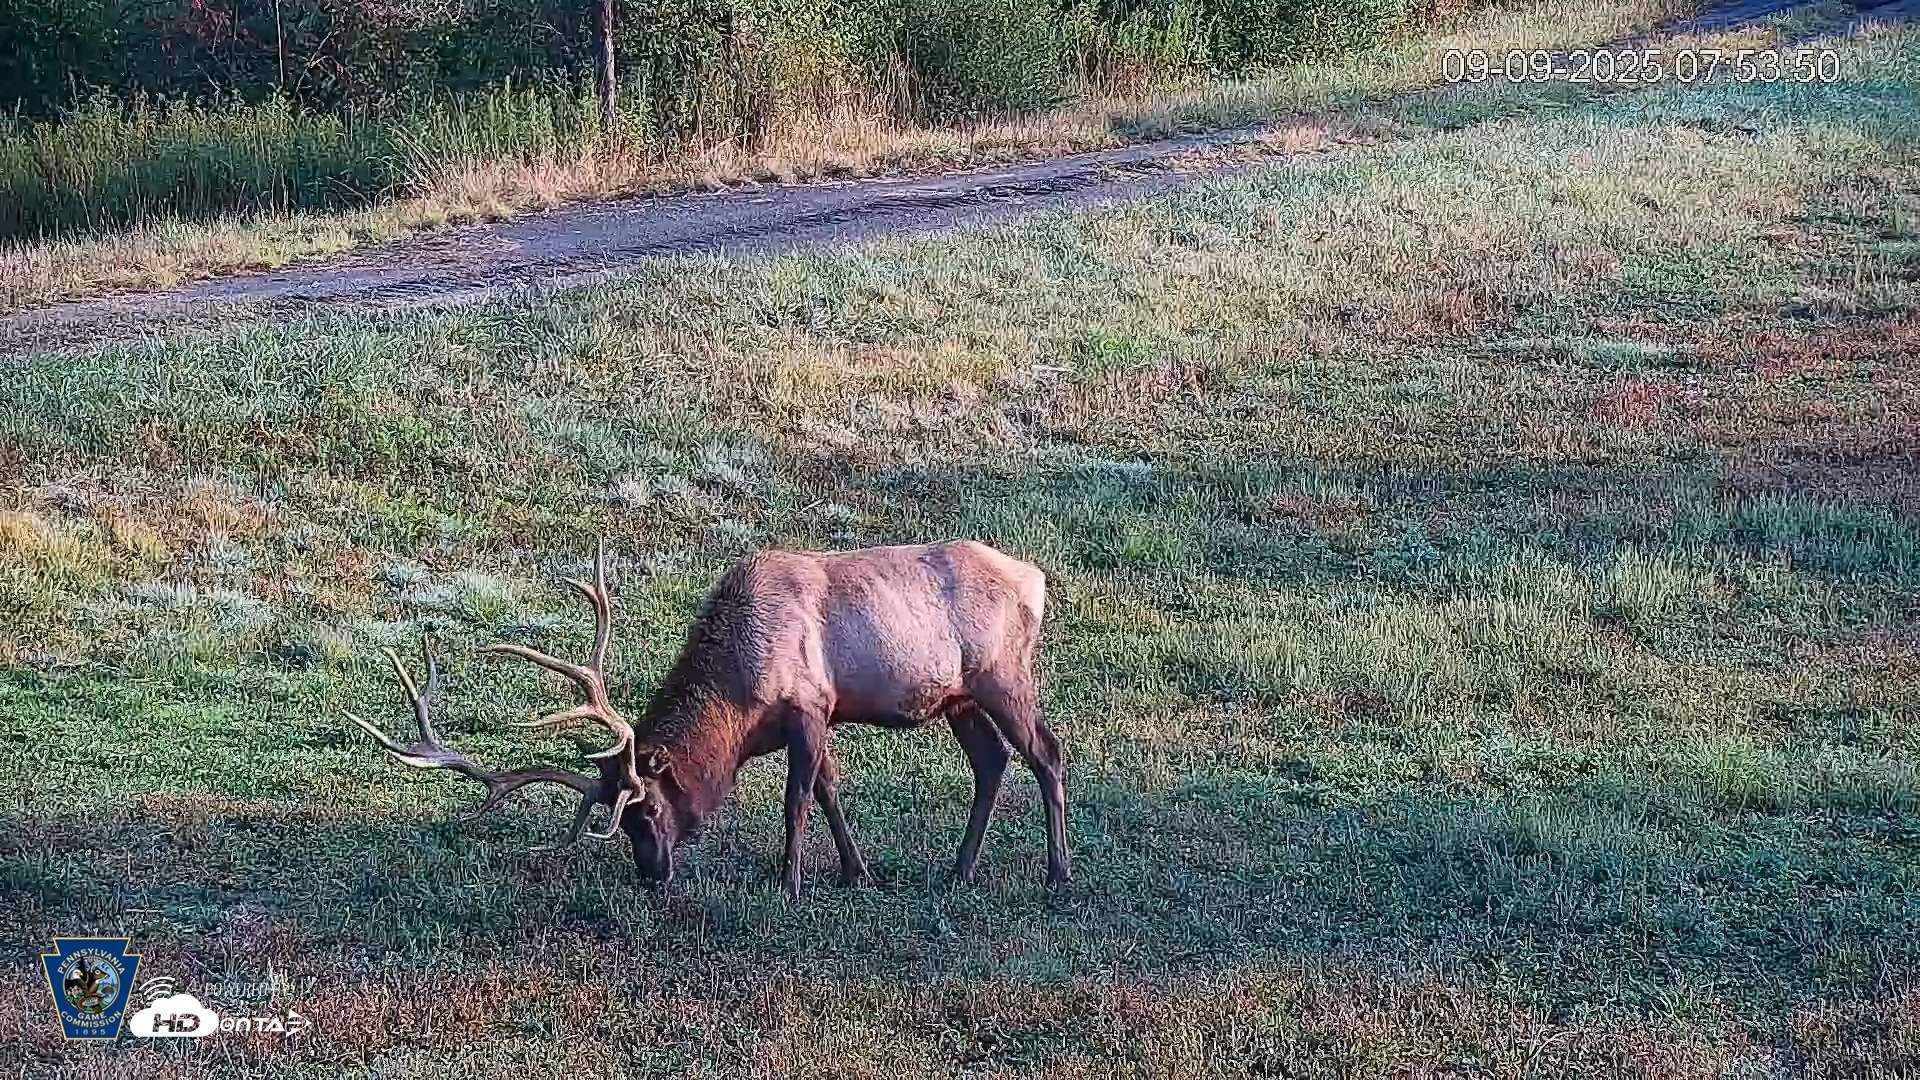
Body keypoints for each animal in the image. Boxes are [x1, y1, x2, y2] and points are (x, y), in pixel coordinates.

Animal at [346, 540, 1068, 899]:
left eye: (645, 808)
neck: (741, 705)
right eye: (621, 821)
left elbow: (799, 799)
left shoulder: (809, 705)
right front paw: (857, 873)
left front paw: (789, 882)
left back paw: (1057, 875)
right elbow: (831, 791)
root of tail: (1034, 578)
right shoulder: (823, 716)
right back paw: (959, 871)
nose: (652, 875)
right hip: (960, 697)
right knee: (992, 762)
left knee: (1047, 750)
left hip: (1004, 675)